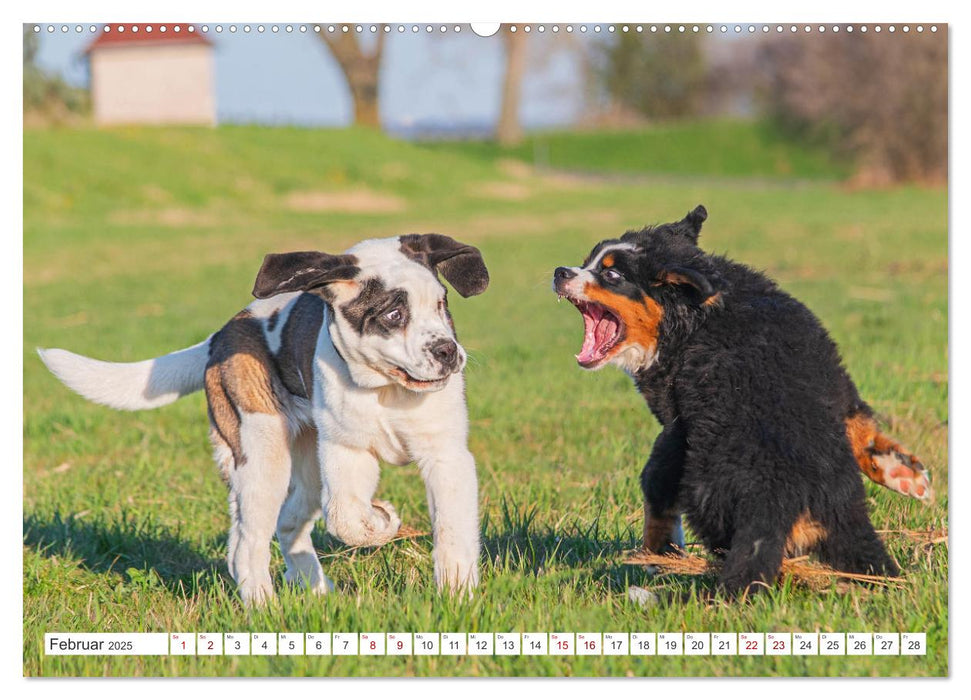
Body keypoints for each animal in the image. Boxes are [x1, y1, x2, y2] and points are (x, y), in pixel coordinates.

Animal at [40, 234, 490, 600]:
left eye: (442, 305)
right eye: (394, 315)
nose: (448, 352)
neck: (385, 389)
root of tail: (220, 336)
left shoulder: (446, 456)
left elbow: (452, 531)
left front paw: (456, 597)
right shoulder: (345, 452)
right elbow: (345, 517)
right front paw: (384, 520)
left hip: (304, 465)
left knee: (287, 523)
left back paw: (316, 591)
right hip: (263, 457)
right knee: (247, 543)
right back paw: (263, 607)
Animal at [552, 208, 924, 596]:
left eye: (611, 274)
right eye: (587, 262)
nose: (560, 272)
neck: (697, 313)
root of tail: (779, 499)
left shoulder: (674, 420)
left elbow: (656, 479)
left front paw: (658, 555)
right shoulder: (830, 375)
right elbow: (856, 419)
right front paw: (903, 473)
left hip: (706, 487)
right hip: (846, 523)